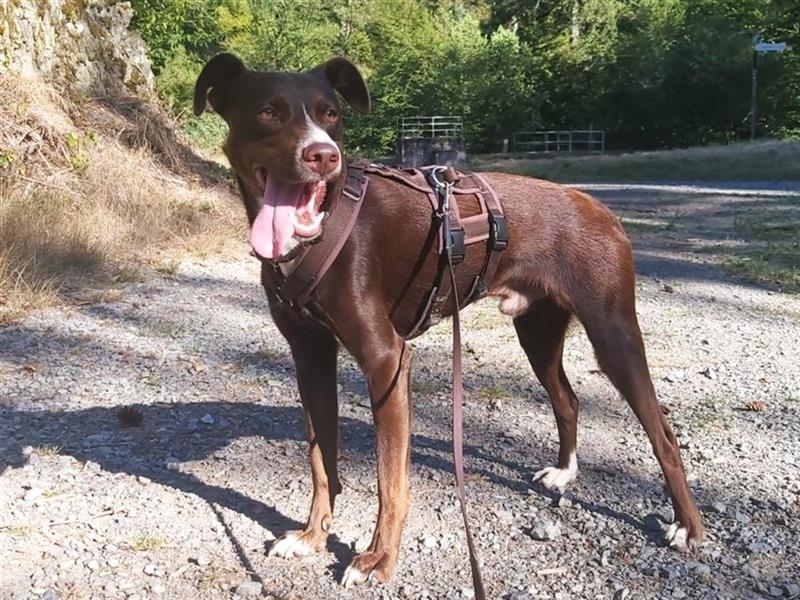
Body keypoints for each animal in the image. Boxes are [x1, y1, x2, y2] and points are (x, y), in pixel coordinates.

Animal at [195, 54, 708, 588]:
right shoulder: (310, 357)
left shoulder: (387, 361)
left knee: (663, 434)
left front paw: (378, 558)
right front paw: (313, 536)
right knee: (567, 400)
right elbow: (321, 461)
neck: (320, 231)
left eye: (330, 113)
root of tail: (600, 208)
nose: (323, 155)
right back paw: (565, 472)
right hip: (538, 333)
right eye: (268, 112)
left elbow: (390, 482)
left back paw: (687, 526)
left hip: (613, 333)